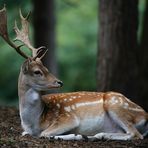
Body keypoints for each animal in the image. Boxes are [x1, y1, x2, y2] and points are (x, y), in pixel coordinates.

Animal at [0, 6, 148, 141]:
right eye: (37, 71)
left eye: (46, 68)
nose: (59, 82)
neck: (34, 122)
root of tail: (145, 116)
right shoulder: (27, 130)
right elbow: (25, 133)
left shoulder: (68, 118)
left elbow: (45, 133)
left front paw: (77, 135)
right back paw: (98, 135)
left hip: (115, 105)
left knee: (135, 134)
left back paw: (95, 135)